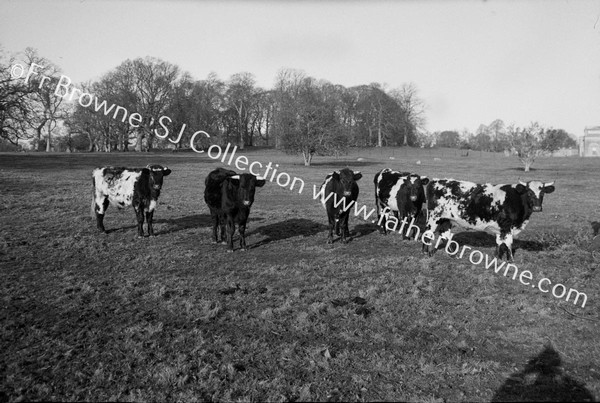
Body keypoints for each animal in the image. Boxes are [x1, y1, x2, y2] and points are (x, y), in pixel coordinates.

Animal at [424, 180, 556, 262]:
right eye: (529, 193)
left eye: (543, 193)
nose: (537, 208)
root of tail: (436, 181)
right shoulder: (507, 225)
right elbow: (508, 242)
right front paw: (510, 260)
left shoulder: (501, 227)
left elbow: (499, 242)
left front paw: (497, 258)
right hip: (434, 217)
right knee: (428, 233)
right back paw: (426, 253)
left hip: (445, 219)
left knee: (445, 235)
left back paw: (453, 255)